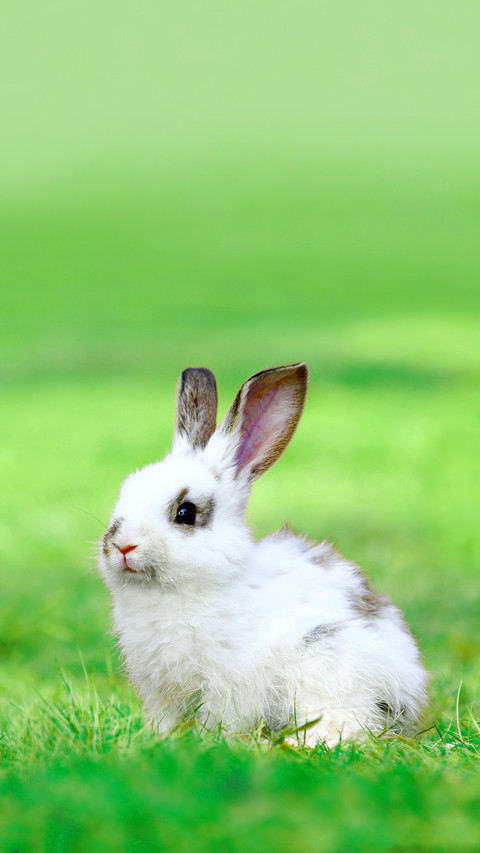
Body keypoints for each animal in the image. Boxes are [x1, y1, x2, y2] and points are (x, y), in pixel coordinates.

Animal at [98, 363, 427, 747]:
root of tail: (407, 693)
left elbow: (219, 719)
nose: (122, 545)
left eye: (185, 512)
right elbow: (166, 721)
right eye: (124, 494)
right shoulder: (161, 694)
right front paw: (159, 740)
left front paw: (214, 742)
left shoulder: (226, 686)